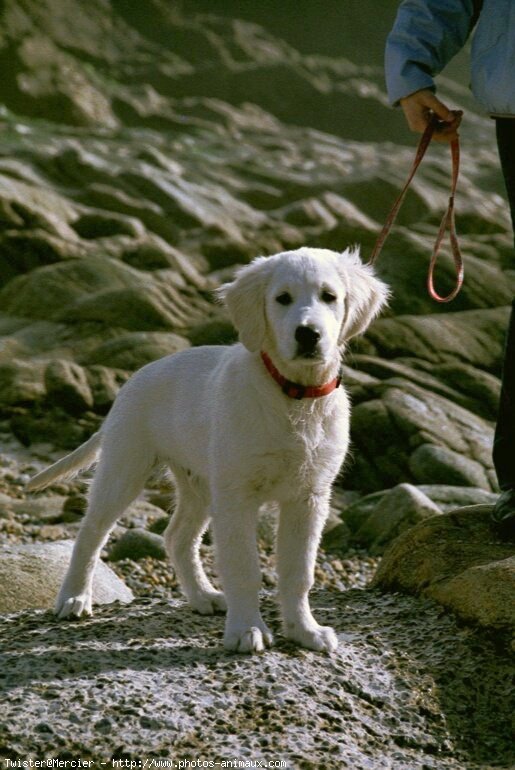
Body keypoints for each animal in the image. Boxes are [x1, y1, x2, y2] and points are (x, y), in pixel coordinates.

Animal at [28, 244, 390, 648]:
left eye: (329, 297)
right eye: (282, 298)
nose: (308, 335)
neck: (293, 395)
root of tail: (134, 379)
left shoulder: (308, 496)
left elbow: (298, 572)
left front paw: (304, 630)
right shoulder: (236, 495)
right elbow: (244, 567)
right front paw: (247, 629)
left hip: (199, 483)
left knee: (177, 538)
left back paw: (202, 596)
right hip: (125, 465)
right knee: (91, 533)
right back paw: (74, 597)